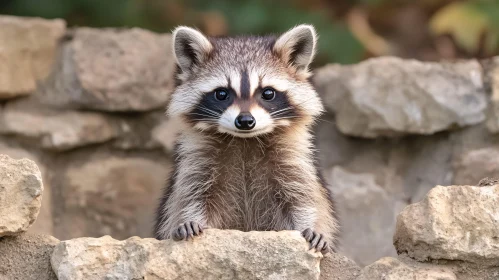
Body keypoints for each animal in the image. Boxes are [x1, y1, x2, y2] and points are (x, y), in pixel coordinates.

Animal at [154, 23, 338, 252]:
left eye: (268, 93)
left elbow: (304, 197)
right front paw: (190, 219)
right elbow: (189, 196)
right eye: (221, 94)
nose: (245, 121)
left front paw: (311, 225)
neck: (245, 140)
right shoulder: (197, 160)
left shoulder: (292, 159)